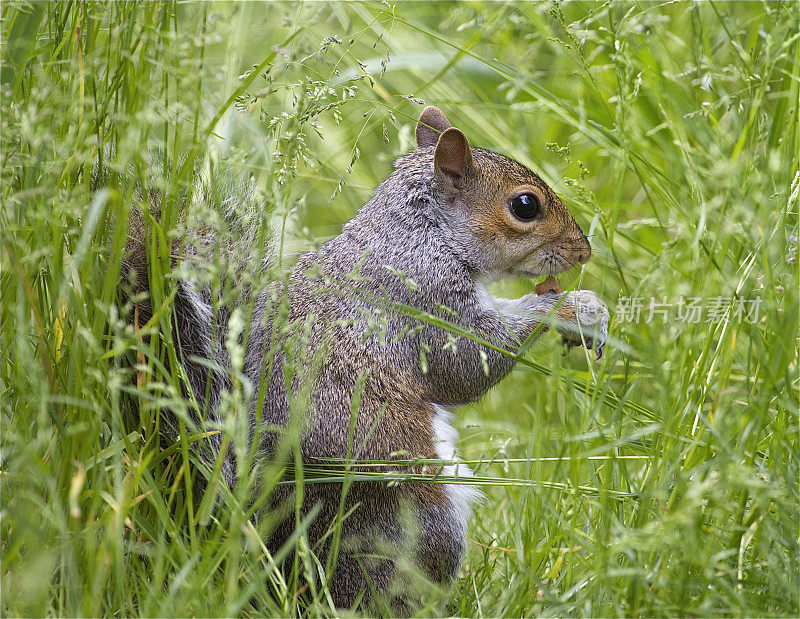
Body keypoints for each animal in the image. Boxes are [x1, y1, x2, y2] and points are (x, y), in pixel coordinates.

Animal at [123, 106, 608, 612]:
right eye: (525, 206)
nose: (584, 250)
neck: (420, 234)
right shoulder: (423, 304)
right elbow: (470, 364)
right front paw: (570, 308)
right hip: (413, 520)